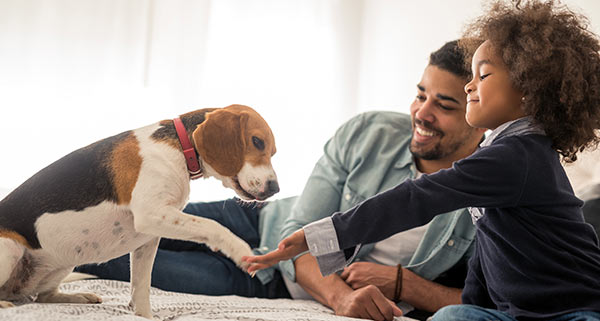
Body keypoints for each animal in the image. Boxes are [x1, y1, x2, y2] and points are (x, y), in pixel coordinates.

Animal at [0, 104, 278, 316]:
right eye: (256, 142)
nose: (275, 188)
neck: (180, 147)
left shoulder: (149, 238)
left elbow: (141, 287)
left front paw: (144, 315)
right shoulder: (151, 215)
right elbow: (212, 225)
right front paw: (240, 250)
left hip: (64, 260)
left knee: (42, 297)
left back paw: (80, 297)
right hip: (10, 247)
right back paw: (5, 303)